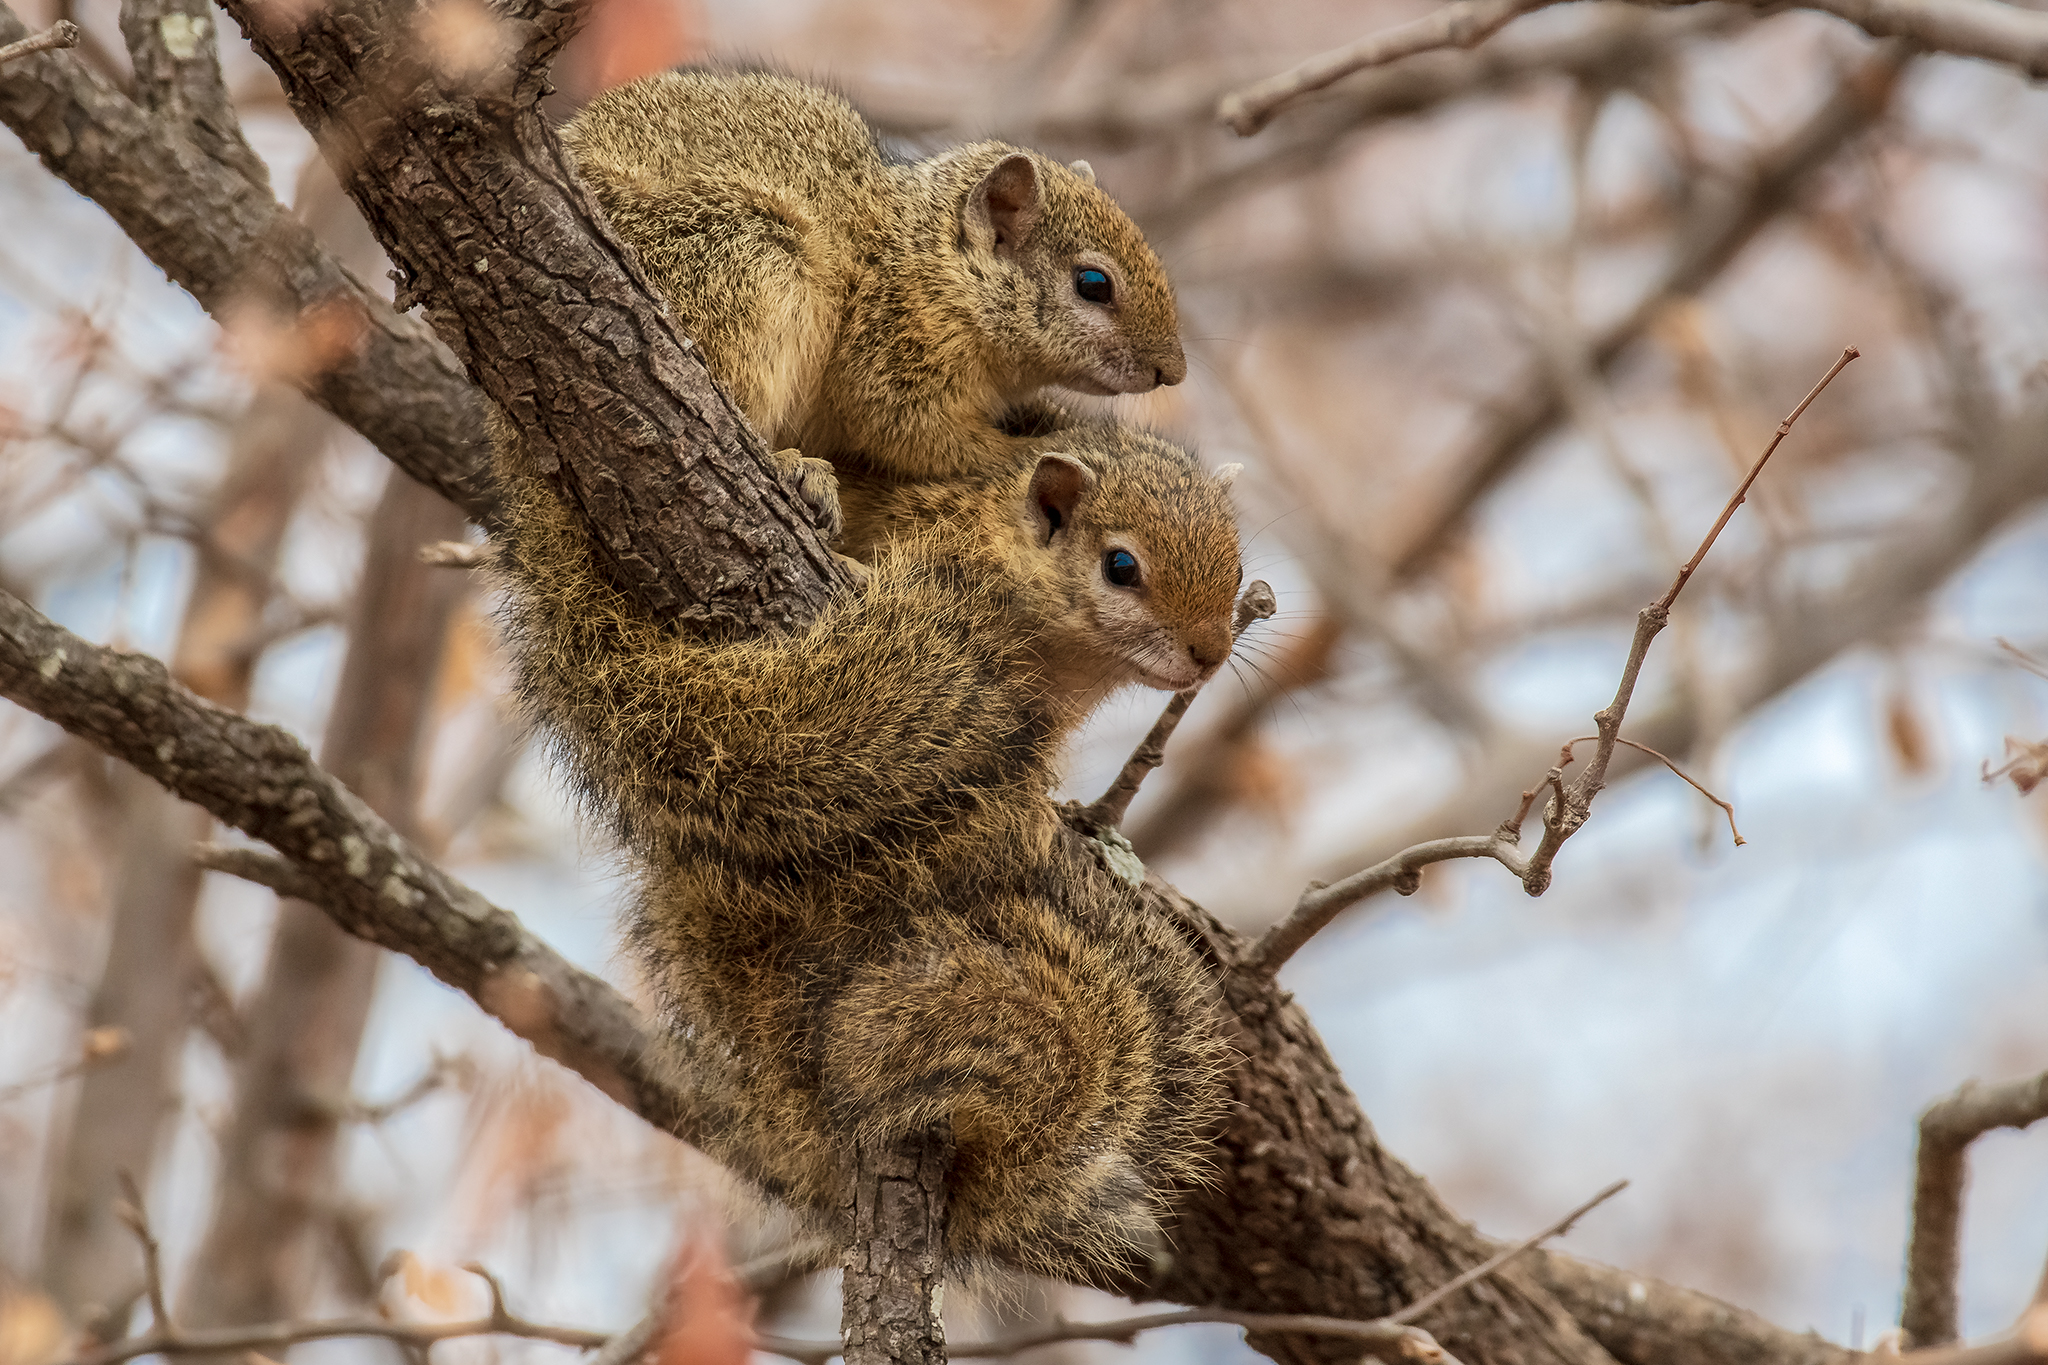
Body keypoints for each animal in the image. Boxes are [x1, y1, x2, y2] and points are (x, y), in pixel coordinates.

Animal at [560, 69, 1188, 484]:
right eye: (1093, 284)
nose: (1174, 372)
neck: (926, 262)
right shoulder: (890, 346)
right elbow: (913, 435)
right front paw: (1047, 446)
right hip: (744, 265)